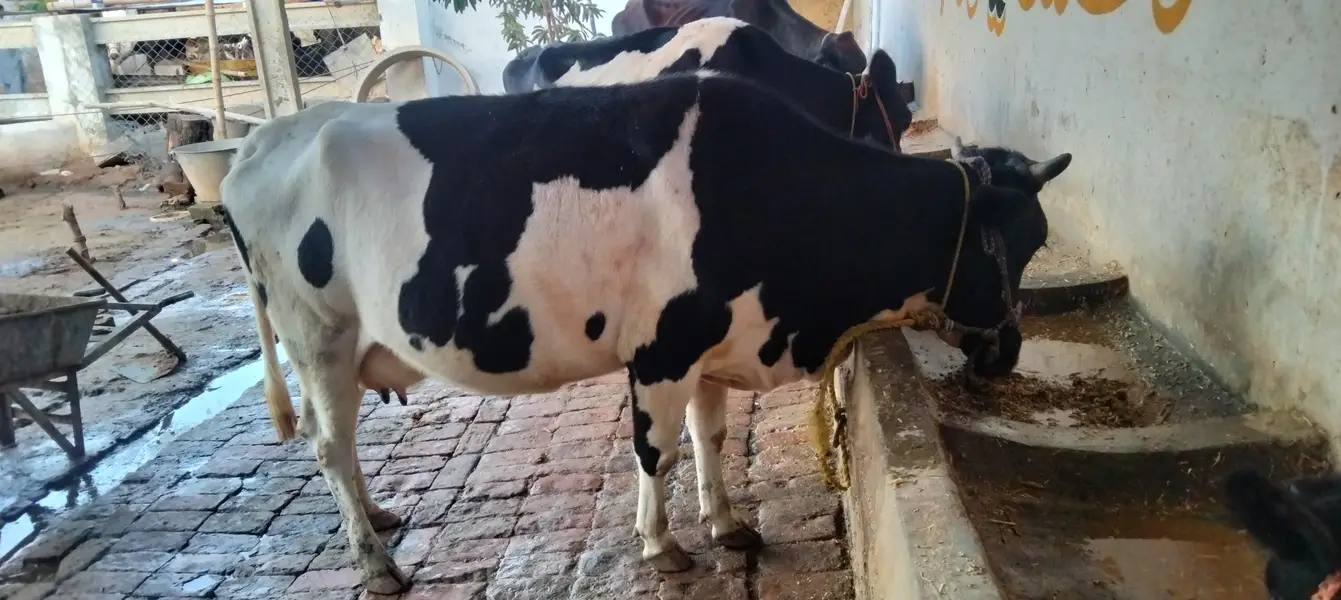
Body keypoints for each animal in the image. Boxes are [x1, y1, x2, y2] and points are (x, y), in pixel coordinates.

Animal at [221, 72, 1071, 592]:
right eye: (1017, 244)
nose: (1008, 354)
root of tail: (266, 138)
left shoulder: (710, 347)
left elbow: (709, 437)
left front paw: (727, 522)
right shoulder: (662, 348)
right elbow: (656, 451)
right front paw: (662, 546)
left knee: (338, 449)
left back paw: (377, 518)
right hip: (318, 336)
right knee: (329, 448)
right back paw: (373, 563)